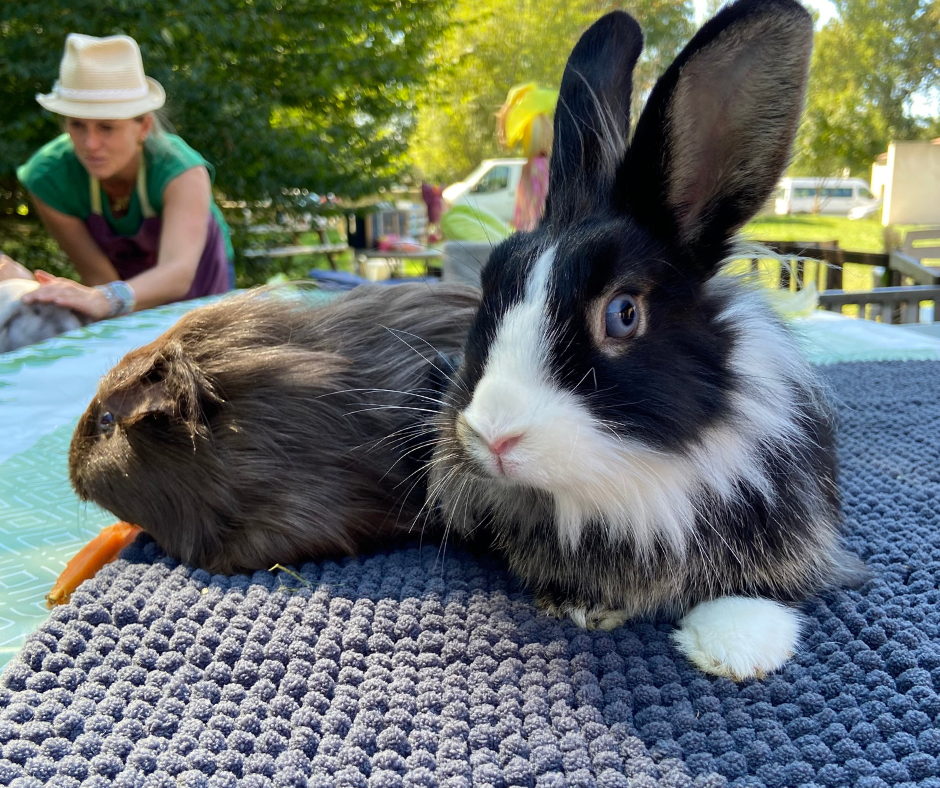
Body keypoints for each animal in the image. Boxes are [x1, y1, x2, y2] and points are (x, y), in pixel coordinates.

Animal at [426, 0, 868, 676]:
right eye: (489, 287)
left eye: (624, 313)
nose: (495, 436)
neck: (629, 488)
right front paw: (580, 605)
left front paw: (735, 646)